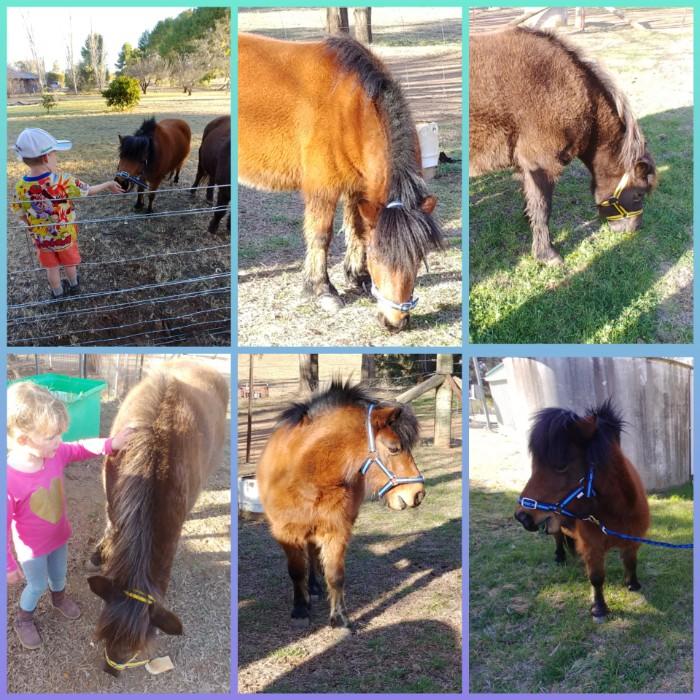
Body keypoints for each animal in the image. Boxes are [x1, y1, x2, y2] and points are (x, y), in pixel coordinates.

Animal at [87, 360, 228, 674]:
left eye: (138, 645)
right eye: (104, 632)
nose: (111, 669)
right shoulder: (113, 501)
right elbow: (111, 523)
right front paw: (101, 552)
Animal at [239, 33, 444, 332]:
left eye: (417, 257)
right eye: (378, 256)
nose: (394, 322)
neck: (349, 106)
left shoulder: (358, 187)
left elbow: (357, 230)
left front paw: (358, 277)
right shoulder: (322, 187)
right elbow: (321, 235)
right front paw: (321, 290)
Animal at [256, 380, 425, 630]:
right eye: (394, 448)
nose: (418, 494)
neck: (307, 475)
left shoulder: (336, 530)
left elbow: (335, 575)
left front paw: (340, 617)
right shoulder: (286, 532)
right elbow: (296, 571)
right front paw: (300, 609)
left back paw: (314, 586)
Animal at [470, 28, 657, 264]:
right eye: (638, 194)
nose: (633, 229)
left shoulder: (527, 165)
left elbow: (531, 200)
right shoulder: (542, 164)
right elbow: (543, 207)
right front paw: (546, 253)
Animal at [514, 400, 650, 621]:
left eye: (561, 466)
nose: (521, 516)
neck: (617, 514)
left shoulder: (633, 541)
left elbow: (631, 562)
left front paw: (633, 585)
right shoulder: (592, 548)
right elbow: (596, 577)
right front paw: (599, 608)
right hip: (555, 525)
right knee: (557, 538)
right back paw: (560, 557)